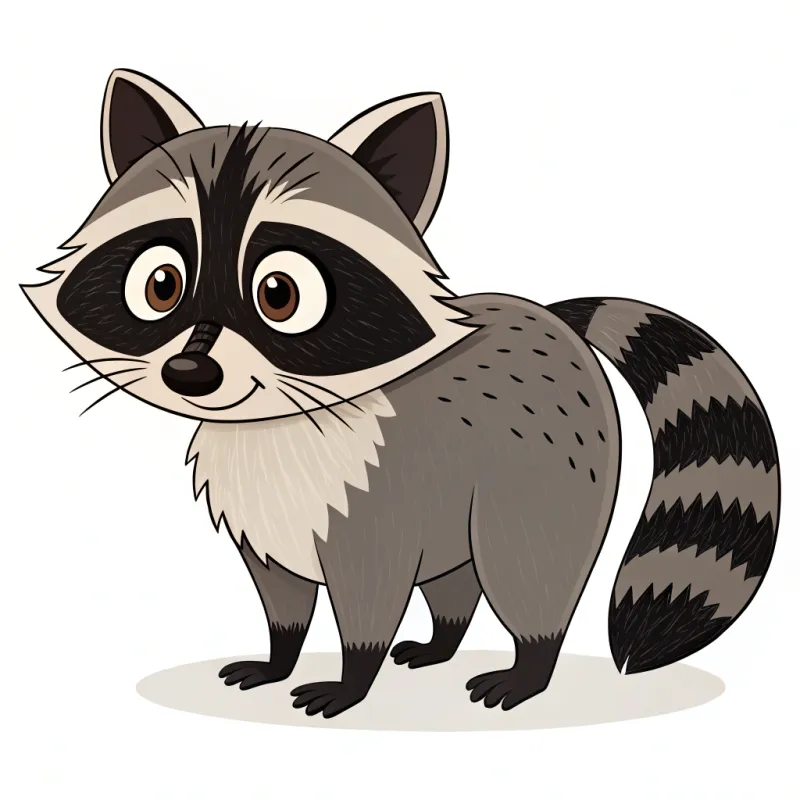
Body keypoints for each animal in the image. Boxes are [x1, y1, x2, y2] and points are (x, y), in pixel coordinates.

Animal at [23, 69, 781, 718]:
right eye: (162, 284)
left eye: (280, 293)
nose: (190, 374)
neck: (273, 420)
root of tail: (553, 318)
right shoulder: (271, 517)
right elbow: (281, 596)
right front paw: (280, 656)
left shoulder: (379, 499)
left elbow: (370, 595)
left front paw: (352, 677)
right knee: (458, 579)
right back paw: (445, 639)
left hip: (540, 475)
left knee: (526, 569)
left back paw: (531, 666)